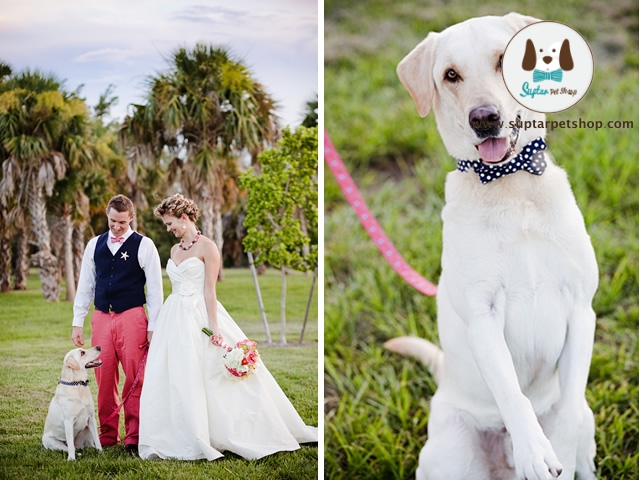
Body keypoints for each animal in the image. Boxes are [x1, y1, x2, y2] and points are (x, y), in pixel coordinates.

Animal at [384, 11, 600, 480]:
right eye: (450, 75)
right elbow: (511, 392)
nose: (484, 118)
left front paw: (556, 449)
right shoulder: (482, 316)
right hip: (448, 453)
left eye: (504, 60)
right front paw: (534, 451)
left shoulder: (581, 309)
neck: (511, 185)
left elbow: (569, 413)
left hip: (591, 426)